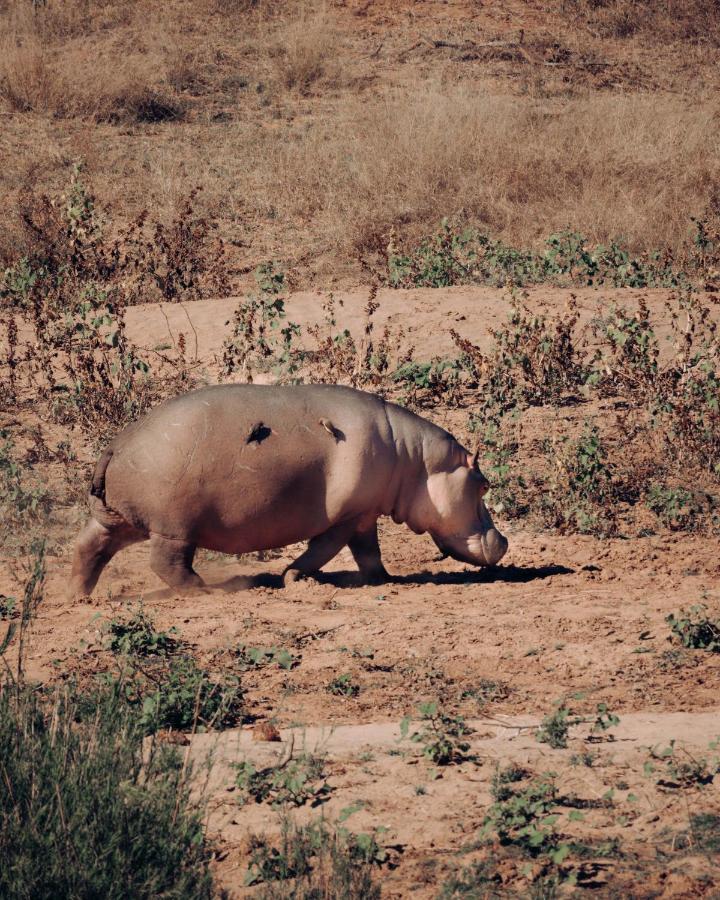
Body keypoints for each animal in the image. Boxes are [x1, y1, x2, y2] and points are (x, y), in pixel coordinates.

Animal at [67, 382, 506, 596]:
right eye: (484, 484)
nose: (503, 542)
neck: (417, 462)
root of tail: (114, 445)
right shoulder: (347, 516)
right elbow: (323, 549)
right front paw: (293, 577)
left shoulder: (365, 513)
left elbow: (369, 552)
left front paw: (382, 580)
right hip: (173, 526)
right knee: (167, 563)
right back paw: (209, 590)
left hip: (118, 519)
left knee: (90, 547)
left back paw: (79, 596)